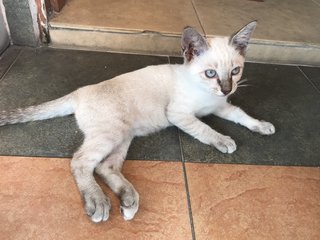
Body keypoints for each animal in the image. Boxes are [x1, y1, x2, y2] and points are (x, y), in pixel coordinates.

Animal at [0, 20, 276, 223]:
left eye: (235, 71)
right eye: (210, 73)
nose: (227, 89)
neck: (208, 96)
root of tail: (79, 92)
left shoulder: (221, 105)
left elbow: (240, 115)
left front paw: (262, 126)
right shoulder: (179, 114)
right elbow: (205, 128)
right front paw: (224, 141)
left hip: (124, 135)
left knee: (105, 166)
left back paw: (129, 200)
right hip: (112, 133)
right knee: (80, 161)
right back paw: (98, 202)